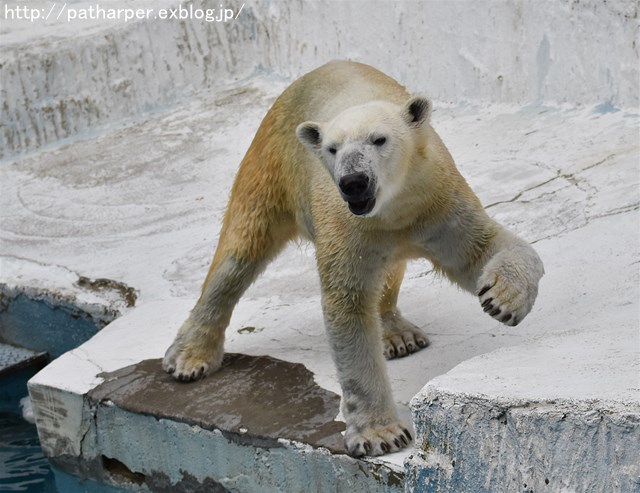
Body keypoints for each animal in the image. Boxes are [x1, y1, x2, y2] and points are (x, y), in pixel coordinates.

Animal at [162, 60, 544, 458]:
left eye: (379, 139)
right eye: (332, 148)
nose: (353, 181)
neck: (391, 208)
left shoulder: (436, 200)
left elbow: (487, 248)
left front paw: (501, 299)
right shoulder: (345, 225)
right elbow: (349, 308)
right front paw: (381, 434)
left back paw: (398, 335)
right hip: (270, 164)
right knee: (238, 254)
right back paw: (189, 358)